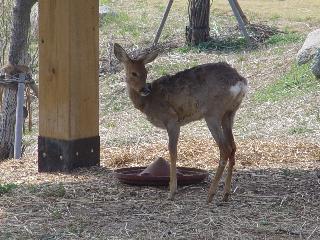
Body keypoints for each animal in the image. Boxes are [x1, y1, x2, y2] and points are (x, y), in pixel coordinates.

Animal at [114, 43, 249, 202]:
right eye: (134, 73)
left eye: (145, 72)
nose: (144, 89)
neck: (148, 102)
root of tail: (240, 82)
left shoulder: (172, 120)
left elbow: (173, 151)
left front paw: (172, 191)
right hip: (230, 113)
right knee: (233, 147)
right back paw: (225, 195)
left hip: (213, 113)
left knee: (225, 148)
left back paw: (210, 195)